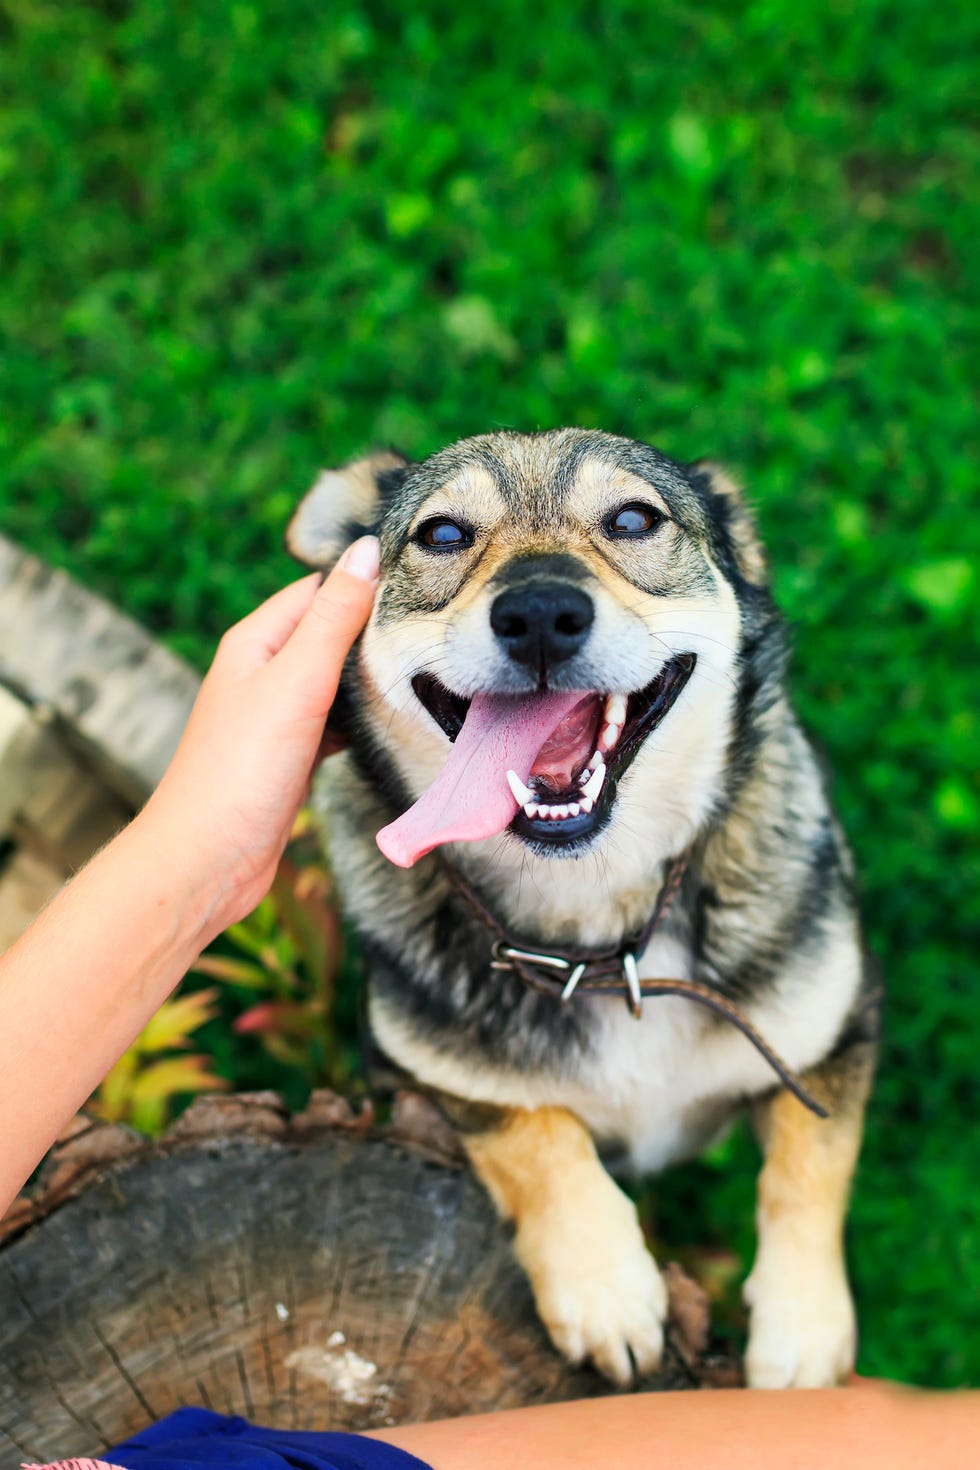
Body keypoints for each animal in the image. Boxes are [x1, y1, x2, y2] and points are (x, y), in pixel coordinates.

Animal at [285, 429, 881, 1387]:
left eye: (634, 519)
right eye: (442, 533)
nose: (538, 613)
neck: (604, 938)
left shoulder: (835, 1024)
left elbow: (810, 1165)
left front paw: (802, 1331)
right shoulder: (413, 1071)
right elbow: (530, 1133)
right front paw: (604, 1286)